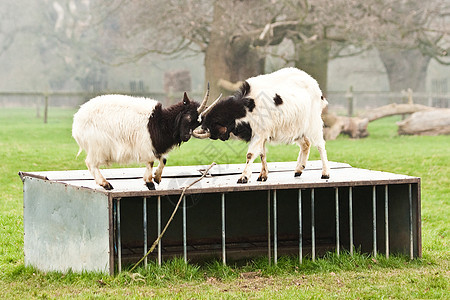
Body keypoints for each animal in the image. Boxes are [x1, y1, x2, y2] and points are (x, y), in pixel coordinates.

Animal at [72, 88, 213, 189]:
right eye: (188, 117)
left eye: (198, 122)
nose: (186, 137)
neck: (160, 121)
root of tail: (77, 120)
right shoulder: (145, 145)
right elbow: (150, 162)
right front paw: (150, 182)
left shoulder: (155, 146)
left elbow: (163, 159)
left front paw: (157, 178)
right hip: (97, 146)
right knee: (90, 163)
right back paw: (105, 184)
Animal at [194, 68, 330, 183]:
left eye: (213, 129)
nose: (222, 138)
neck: (246, 108)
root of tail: (316, 86)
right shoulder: (262, 134)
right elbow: (262, 154)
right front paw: (262, 176)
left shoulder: (259, 133)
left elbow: (250, 154)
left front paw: (243, 177)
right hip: (297, 127)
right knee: (306, 143)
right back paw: (298, 170)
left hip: (314, 122)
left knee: (320, 145)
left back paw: (325, 173)